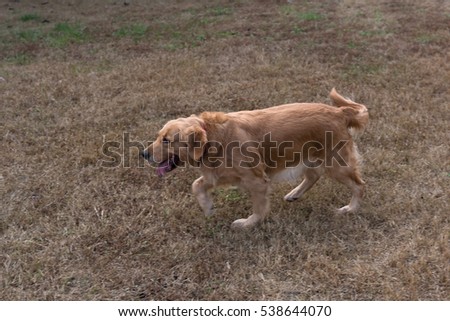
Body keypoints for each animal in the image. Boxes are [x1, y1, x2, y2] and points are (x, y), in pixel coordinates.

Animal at [143, 87, 370, 228]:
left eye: (166, 140)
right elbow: (196, 185)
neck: (215, 138)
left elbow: (259, 208)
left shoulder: (257, 180)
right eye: (159, 136)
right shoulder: (218, 174)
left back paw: (350, 209)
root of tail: (340, 111)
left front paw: (248, 223)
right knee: (313, 176)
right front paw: (208, 207)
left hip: (337, 164)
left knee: (359, 185)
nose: (143, 154)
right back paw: (294, 193)